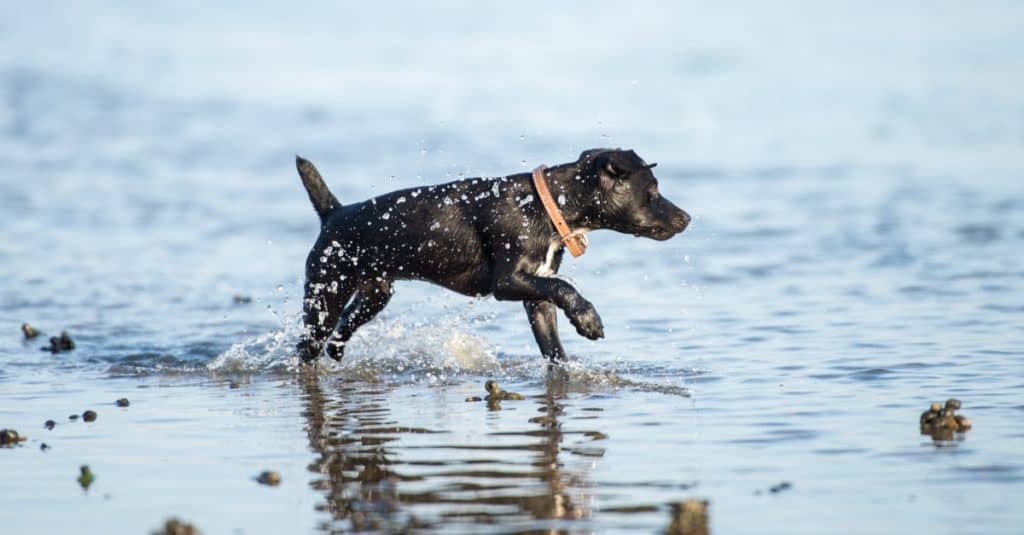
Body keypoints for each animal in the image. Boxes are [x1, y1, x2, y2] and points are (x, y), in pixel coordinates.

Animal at [294, 147, 688, 360]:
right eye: (652, 192)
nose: (686, 218)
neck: (547, 206)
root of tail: (333, 214)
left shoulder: (536, 296)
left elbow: (554, 347)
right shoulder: (508, 282)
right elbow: (565, 287)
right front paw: (588, 319)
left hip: (375, 294)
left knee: (343, 328)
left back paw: (338, 351)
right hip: (326, 294)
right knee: (308, 345)